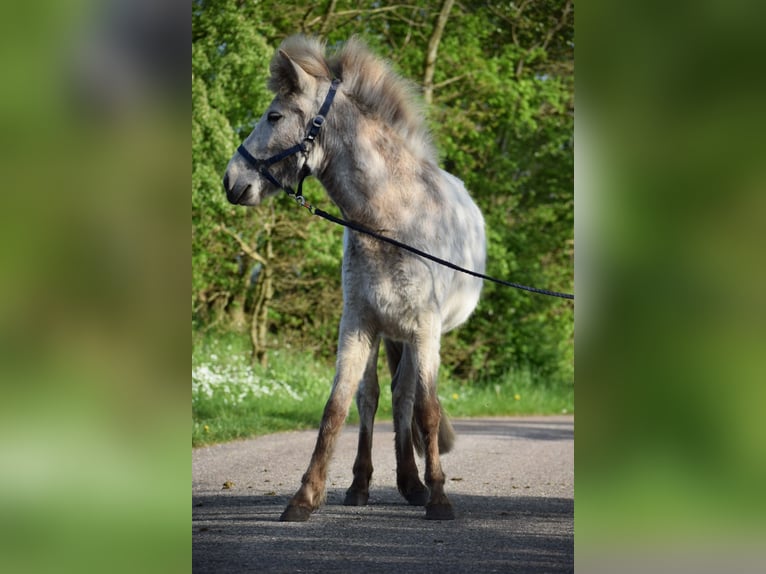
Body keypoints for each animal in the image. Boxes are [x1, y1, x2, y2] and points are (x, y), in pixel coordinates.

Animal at [224, 35, 486, 520]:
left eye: (274, 116)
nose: (231, 180)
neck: (391, 221)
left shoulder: (425, 331)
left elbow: (427, 410)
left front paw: (439, 497)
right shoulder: (358, 325)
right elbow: (338, 406)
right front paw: (306, 496)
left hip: (410, 336)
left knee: (406, 399)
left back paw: (415, 484)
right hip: (385, 333)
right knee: (377, 398)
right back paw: (367, 484)